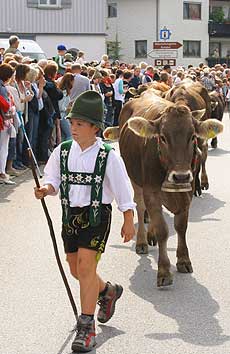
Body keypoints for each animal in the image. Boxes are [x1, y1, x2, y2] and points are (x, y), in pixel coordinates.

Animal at [105, 90, 223, 286]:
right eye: (162, 137)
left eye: (192, 136)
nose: (181, 175)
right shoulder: (151, 191)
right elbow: (163, 230)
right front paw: (164, 271)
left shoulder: (186, 193)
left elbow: (181, 226)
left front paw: (183, 260)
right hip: (135, 178)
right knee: (140, 206)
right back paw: (142, 241)